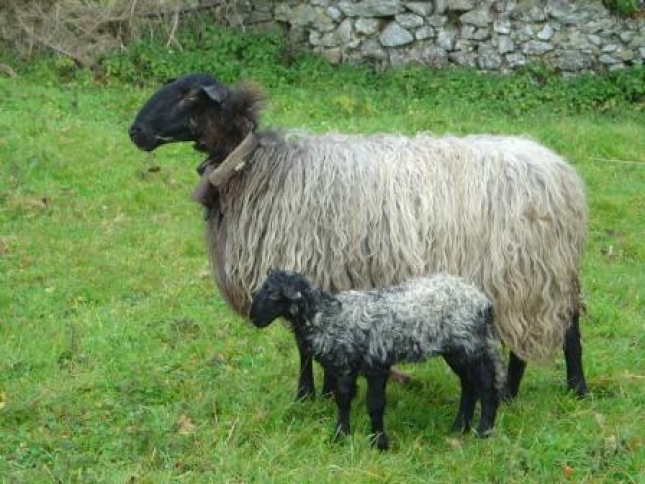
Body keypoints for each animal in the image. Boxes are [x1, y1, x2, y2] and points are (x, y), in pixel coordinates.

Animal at [128, 72, 588, 401]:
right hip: (534, 274)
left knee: (556, 329)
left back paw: (560, 390)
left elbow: (303, 343)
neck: (255, 168)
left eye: (188, 96)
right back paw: (533, 392)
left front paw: (311, 395)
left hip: (528, 272)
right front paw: (318, 392)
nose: (135, 131)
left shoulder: (306, 266)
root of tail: (560, 172)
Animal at [250, 269, 503, 450]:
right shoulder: (345, 368)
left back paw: (483, 432)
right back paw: (459, 428)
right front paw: (340, 437)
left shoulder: (377, 363)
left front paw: (378, 444)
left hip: (471, 344)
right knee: (468, 385)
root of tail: (484, 302)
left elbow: (375, 405)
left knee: (486, 387)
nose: (253, 318)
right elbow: (342, 401)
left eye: (275, 294)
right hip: (456, 349)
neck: (330, 317)